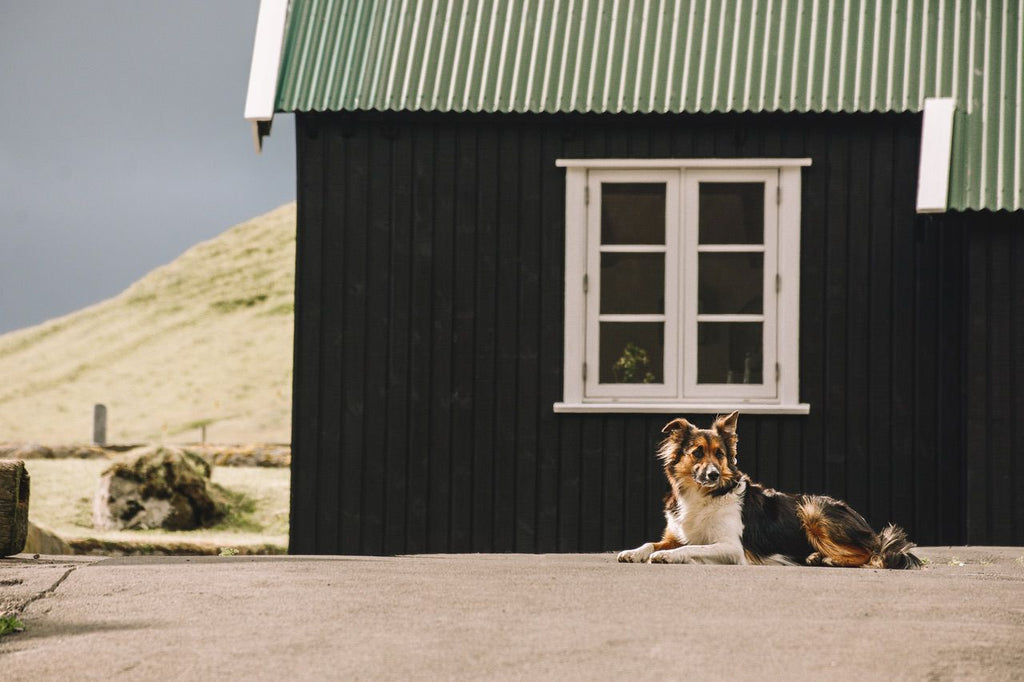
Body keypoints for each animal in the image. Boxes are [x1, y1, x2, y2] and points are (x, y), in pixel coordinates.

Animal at [618, 411, 925, 565]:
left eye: (719, 454)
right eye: (697, 453)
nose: (714, 474)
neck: (704, 495)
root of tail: (865, 524)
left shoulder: (731, 548)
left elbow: (692, 548)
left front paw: (666, 556)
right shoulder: (677, 533)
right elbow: (653, 542)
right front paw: (633, 551)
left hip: (812, 509)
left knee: (872, 555)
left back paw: (828, 559)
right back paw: (817, 556)